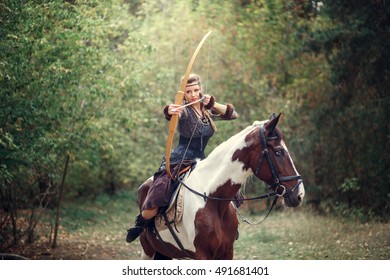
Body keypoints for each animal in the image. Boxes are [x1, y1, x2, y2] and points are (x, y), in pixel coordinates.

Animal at [137, 114, 304, 260]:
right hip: (148, 251)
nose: (299, 194)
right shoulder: (202, 255)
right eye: (279, 152)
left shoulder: (227, 252)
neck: (211, 199)